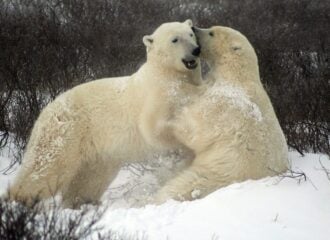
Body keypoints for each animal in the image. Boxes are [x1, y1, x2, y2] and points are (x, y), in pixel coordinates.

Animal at [7, 20, 202, 208]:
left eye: (190, 34)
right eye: (175, 39)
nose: (196, 50)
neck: (165, 73)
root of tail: (45, 110)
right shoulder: (155, 96)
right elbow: (154, 129)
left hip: (97, 153)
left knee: (89, 179)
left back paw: (81, 202)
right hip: (65, 133)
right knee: (46, 168)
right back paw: (18, 201)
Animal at [155, 25, 288, 202]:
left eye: (211, 32)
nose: (194, 28)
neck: (237, 76)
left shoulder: (224, 104)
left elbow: (196, 128)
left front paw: (170, 121)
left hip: (216, 173)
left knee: (182, 186)